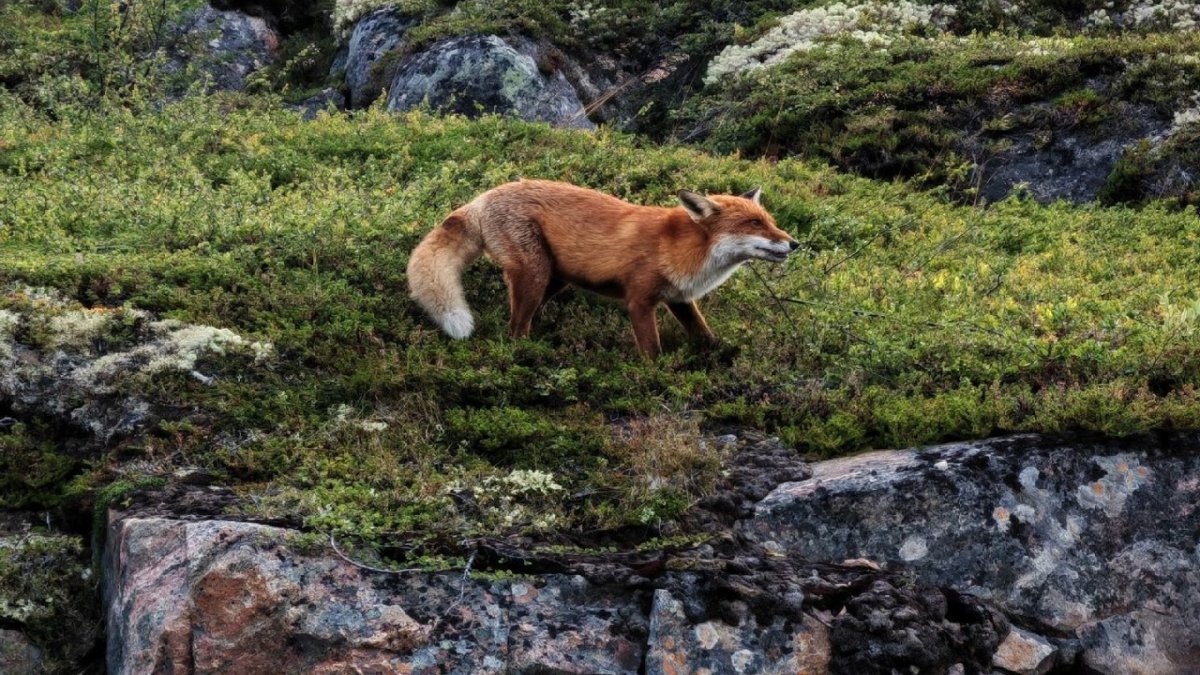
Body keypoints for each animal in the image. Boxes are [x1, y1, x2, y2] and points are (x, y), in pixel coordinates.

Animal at [406, 179, 799, 357]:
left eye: (770, 222)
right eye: (753, 224)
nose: (795, 243)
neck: (682, 249)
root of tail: (482, 197)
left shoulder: (680, 299)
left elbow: (704, 335)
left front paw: (722, 356)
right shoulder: (639, 300)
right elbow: (652, 350)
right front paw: (658, 378)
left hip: (553, 280)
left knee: (517, 320)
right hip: (534, 274)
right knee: (516, 329)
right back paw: (527, 357)